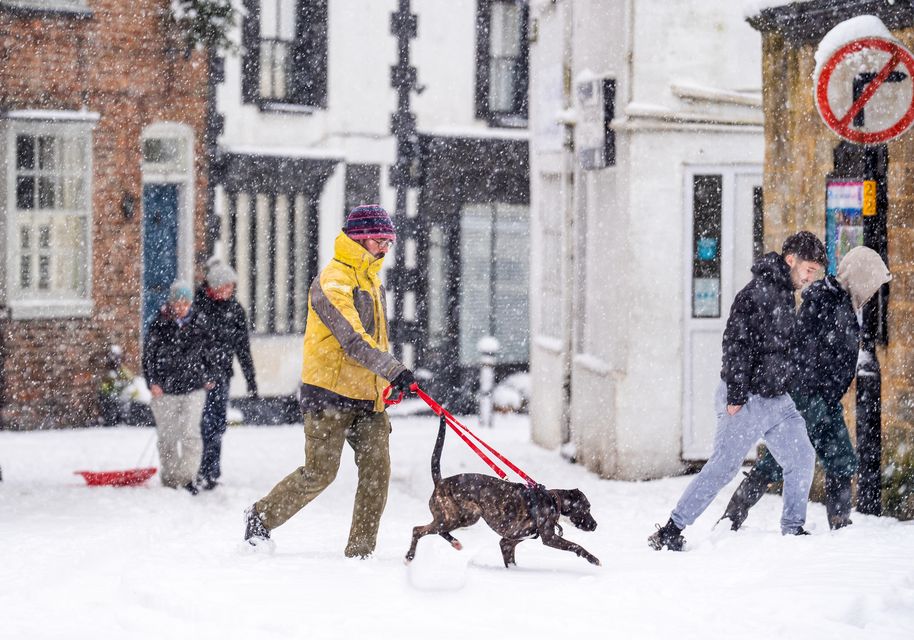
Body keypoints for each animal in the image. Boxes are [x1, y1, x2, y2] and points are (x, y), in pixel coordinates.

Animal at [404, 418, 600, 568]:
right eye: (587, 508)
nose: (595, 525)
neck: (554, 501)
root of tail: (440, 481)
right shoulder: (549, 538)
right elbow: (575, 546)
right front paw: (593, 559)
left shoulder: (508, 541)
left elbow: (510, 560)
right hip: (460, 516)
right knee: (417, 530)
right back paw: (410, 557)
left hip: (460, 517)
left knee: (437, 530)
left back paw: (455, 542)